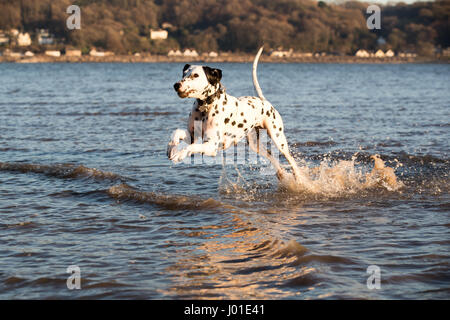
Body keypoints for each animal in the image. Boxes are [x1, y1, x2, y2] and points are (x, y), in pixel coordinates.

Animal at [166, 47, 302, 182]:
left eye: (195, 75)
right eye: (183, 73)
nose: (176, 85)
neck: (205, 107)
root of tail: (264, 101)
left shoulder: (211, 145)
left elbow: (190, 147)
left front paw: (179, 155)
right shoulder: (192, 135)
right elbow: (177, 133)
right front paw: (171, 147)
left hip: (278, 139)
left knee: (291, 161)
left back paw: (299, 178)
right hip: (255, 145)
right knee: (273, 158)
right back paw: (281, 173)